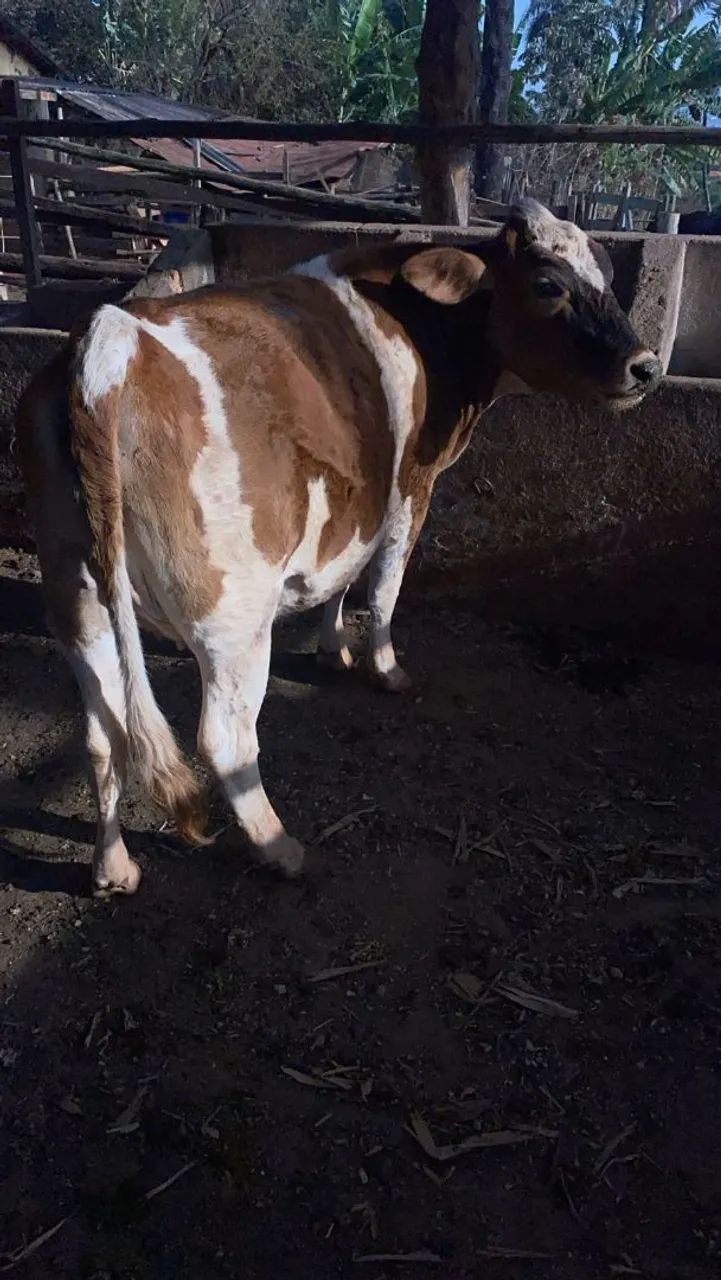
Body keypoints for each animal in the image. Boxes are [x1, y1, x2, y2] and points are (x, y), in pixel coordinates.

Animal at [16, 199, 662, 897]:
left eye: (606, 274)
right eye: (548, 284)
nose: (647, 366)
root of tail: (110, 340)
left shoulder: (360, 498)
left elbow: (344, 573)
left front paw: (333, 647)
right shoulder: (412, 483)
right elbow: (385, 582)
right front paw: (384, 667)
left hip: (77, 598)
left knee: (102, 731)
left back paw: (113, 867)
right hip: (233, 616)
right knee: (224, 739)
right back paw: (279, 847)